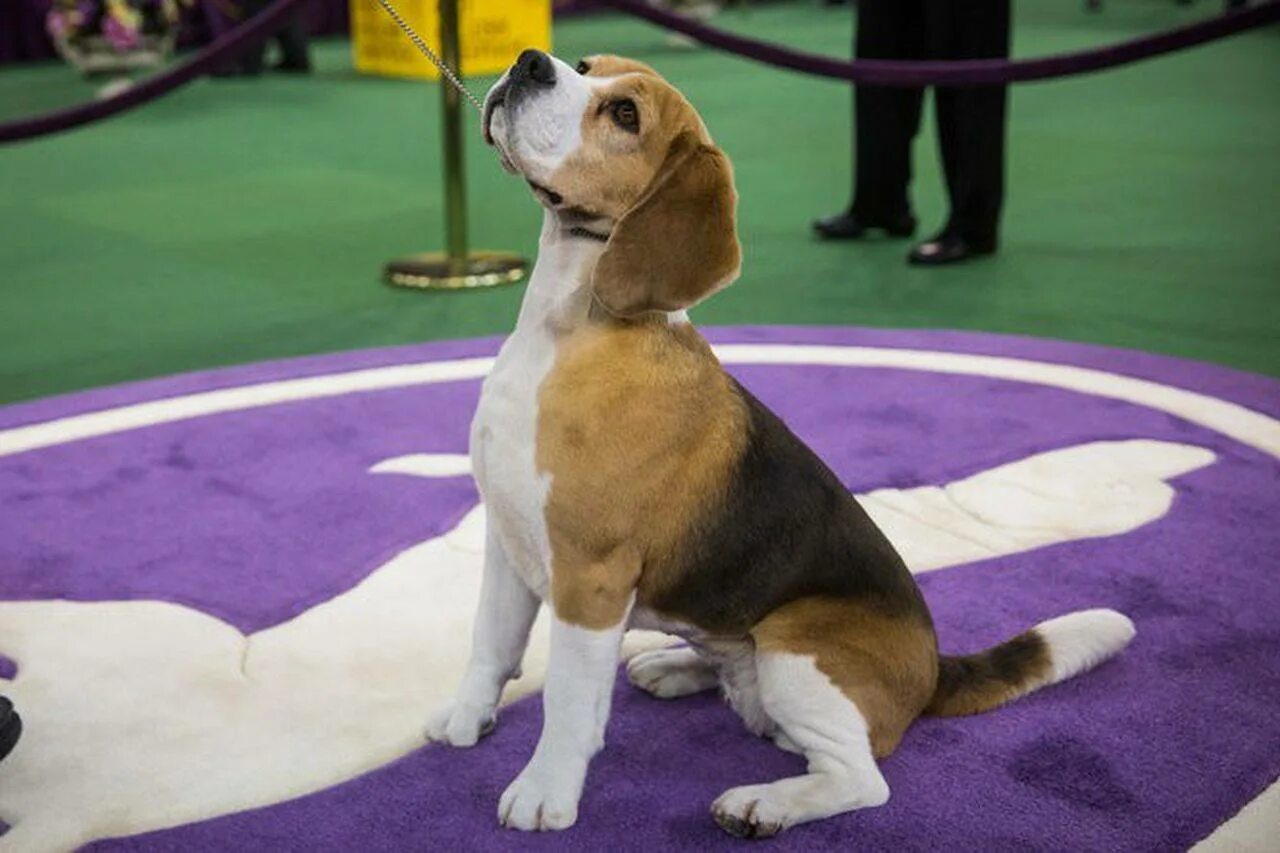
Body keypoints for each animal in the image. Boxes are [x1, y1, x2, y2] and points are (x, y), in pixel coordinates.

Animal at [430, 49, 1141, 835]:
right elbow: (489, 644)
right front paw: (465, 719)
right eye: (586, 66)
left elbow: (566, 699)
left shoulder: (591, 574)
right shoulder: (508, 537)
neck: (566, 326)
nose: (530, 63)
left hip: (793, 653)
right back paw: (677, 664)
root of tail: (931, 668)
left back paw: (763, 801)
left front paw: (544, 789)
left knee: (861, 777)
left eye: (624, 114)